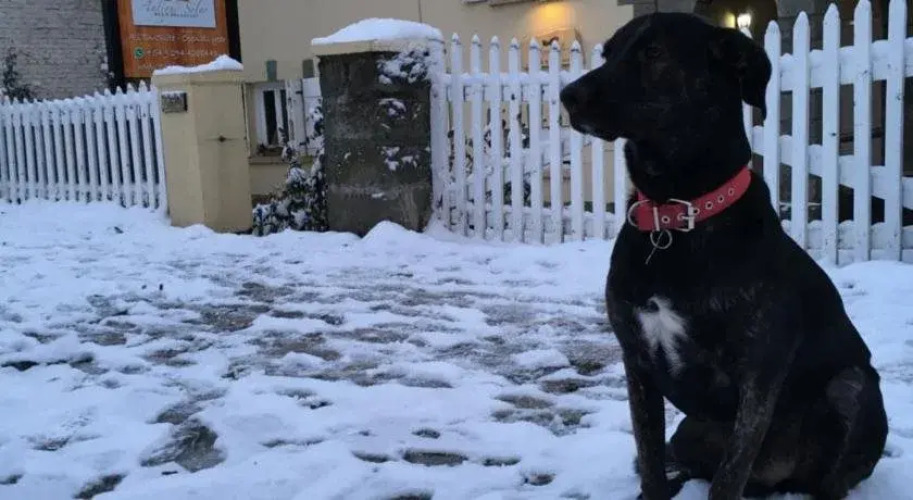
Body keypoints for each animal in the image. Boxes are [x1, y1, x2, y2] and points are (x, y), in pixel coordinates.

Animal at [560, 12, 888, 500]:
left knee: (828, 476)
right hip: (689, 433)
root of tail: (778, 478)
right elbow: (649, 458)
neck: (676, 214)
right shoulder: (637, 361)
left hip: (855, 387)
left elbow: (729, 475)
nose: (568, 96)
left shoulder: (758, 376)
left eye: (654, 52)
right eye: (607, 52)